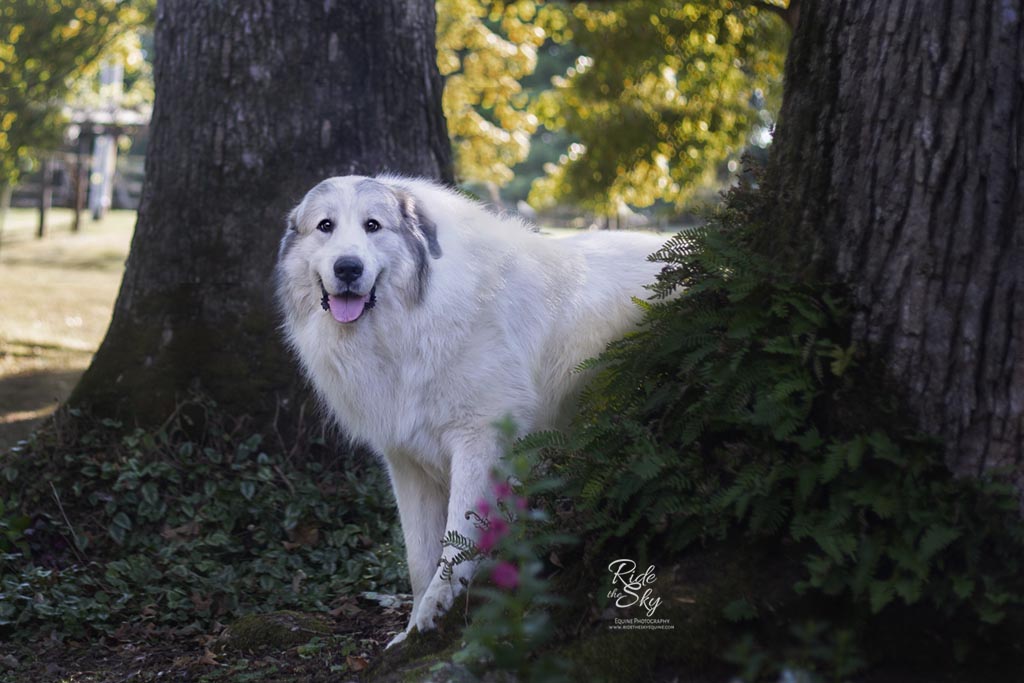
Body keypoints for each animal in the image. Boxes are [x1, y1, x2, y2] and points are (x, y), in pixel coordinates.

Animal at [274, 175, 663, 647]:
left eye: (372, 226)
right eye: (325, 226)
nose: (348, 268)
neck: (410, 321)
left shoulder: (479, 440)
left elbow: (456, 538)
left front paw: (436, 612)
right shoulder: (407, 463)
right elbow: (418, 555)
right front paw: (411, 631)